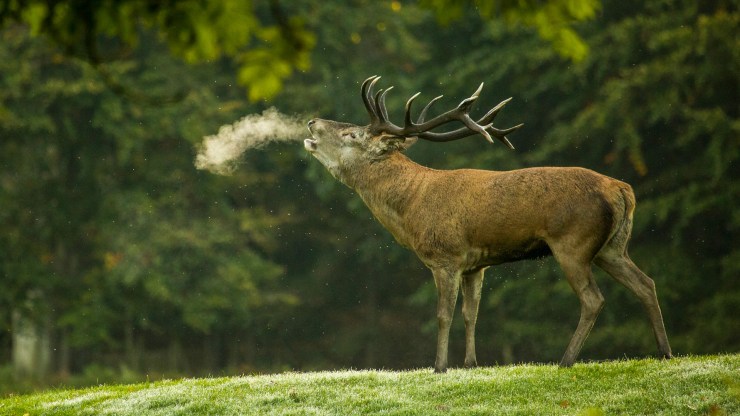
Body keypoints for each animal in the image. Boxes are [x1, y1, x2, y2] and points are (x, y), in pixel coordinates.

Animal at [304, 75, 673, 373]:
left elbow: (443, 314)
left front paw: (439, 367)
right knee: (646, 283)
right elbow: (472, 313)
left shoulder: (446, 256)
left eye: (351, 133)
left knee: (593, 299)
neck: (411, 208)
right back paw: (665, 352)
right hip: (612, 247)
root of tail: (622, 189)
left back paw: (565, 360)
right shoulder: (475, 265)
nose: (311, 122)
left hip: (573, 242)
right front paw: (471, 363)